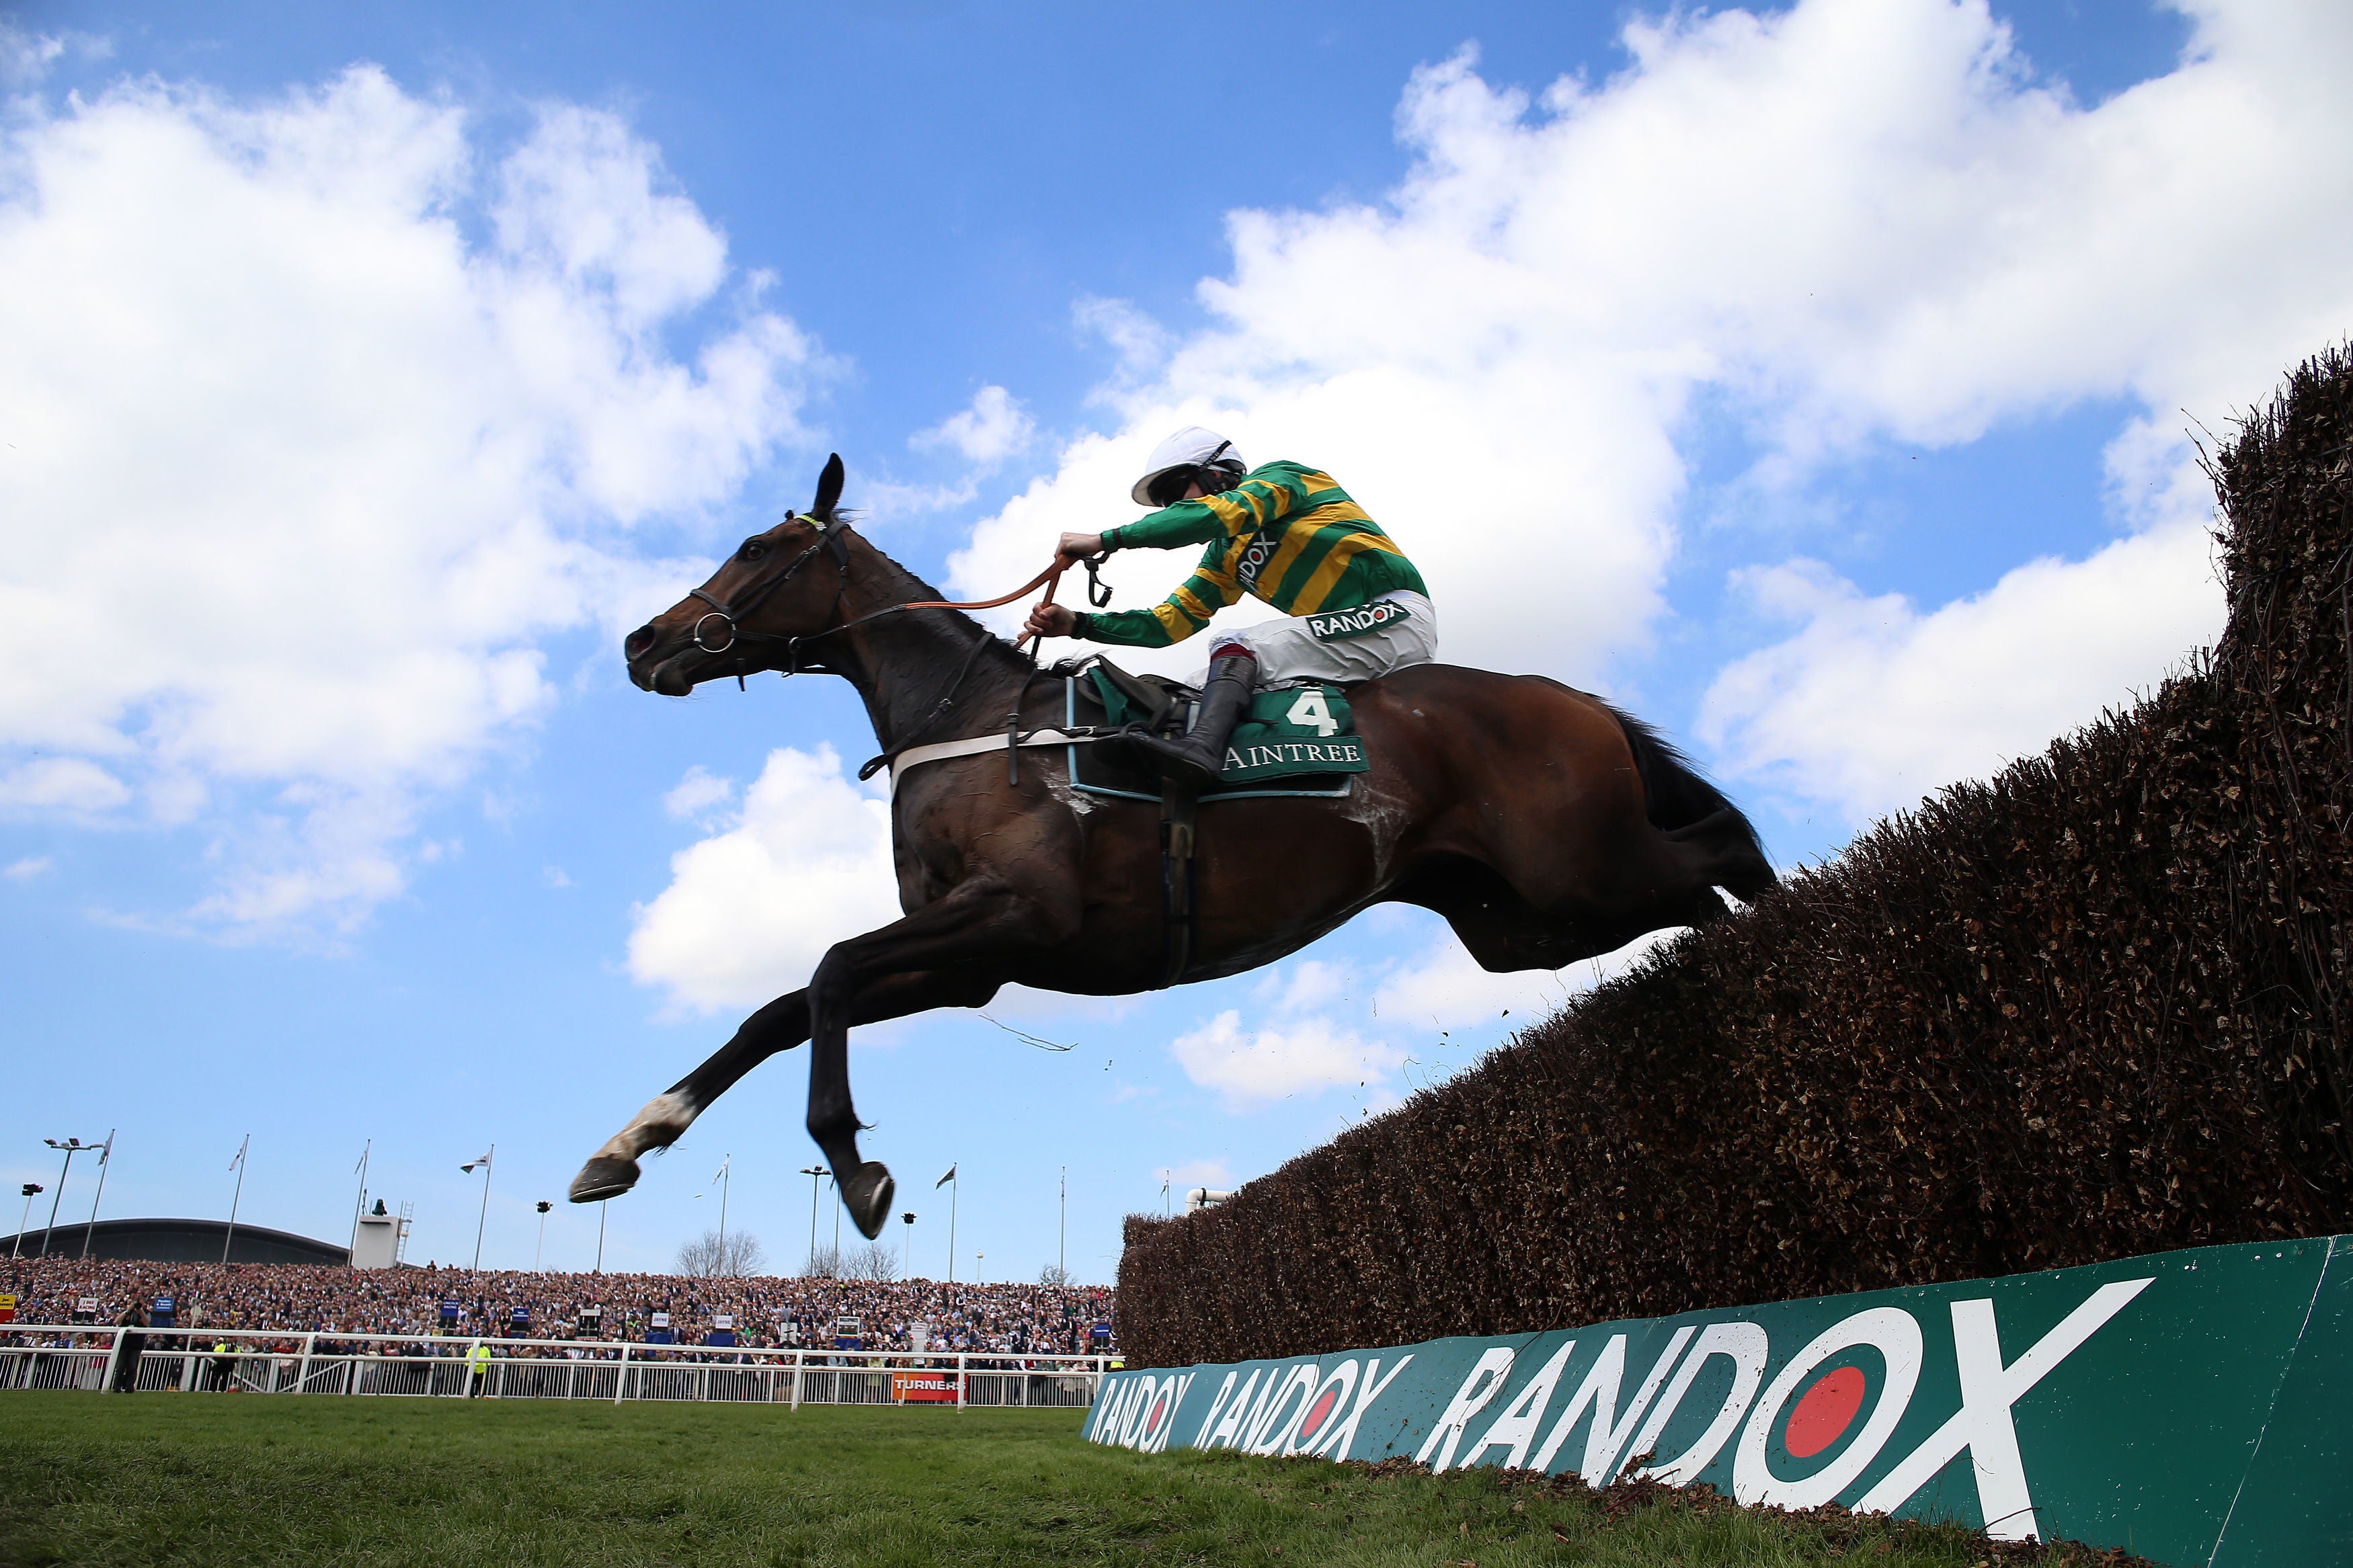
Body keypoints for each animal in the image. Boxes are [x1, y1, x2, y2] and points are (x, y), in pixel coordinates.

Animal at [579, 454, 1769, 1241]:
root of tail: (1571, 698)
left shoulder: (1019, 911)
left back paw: (1787, 924)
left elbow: (825, 972)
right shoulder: (969, 960)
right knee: (1691, 893)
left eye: (757, 549)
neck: (971, 720)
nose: (642, 642)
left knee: (1724, 848)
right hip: (1522, 922)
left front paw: (857, 1167)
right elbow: (782, 1009)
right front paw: (624, 1143)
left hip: (1579, 866)